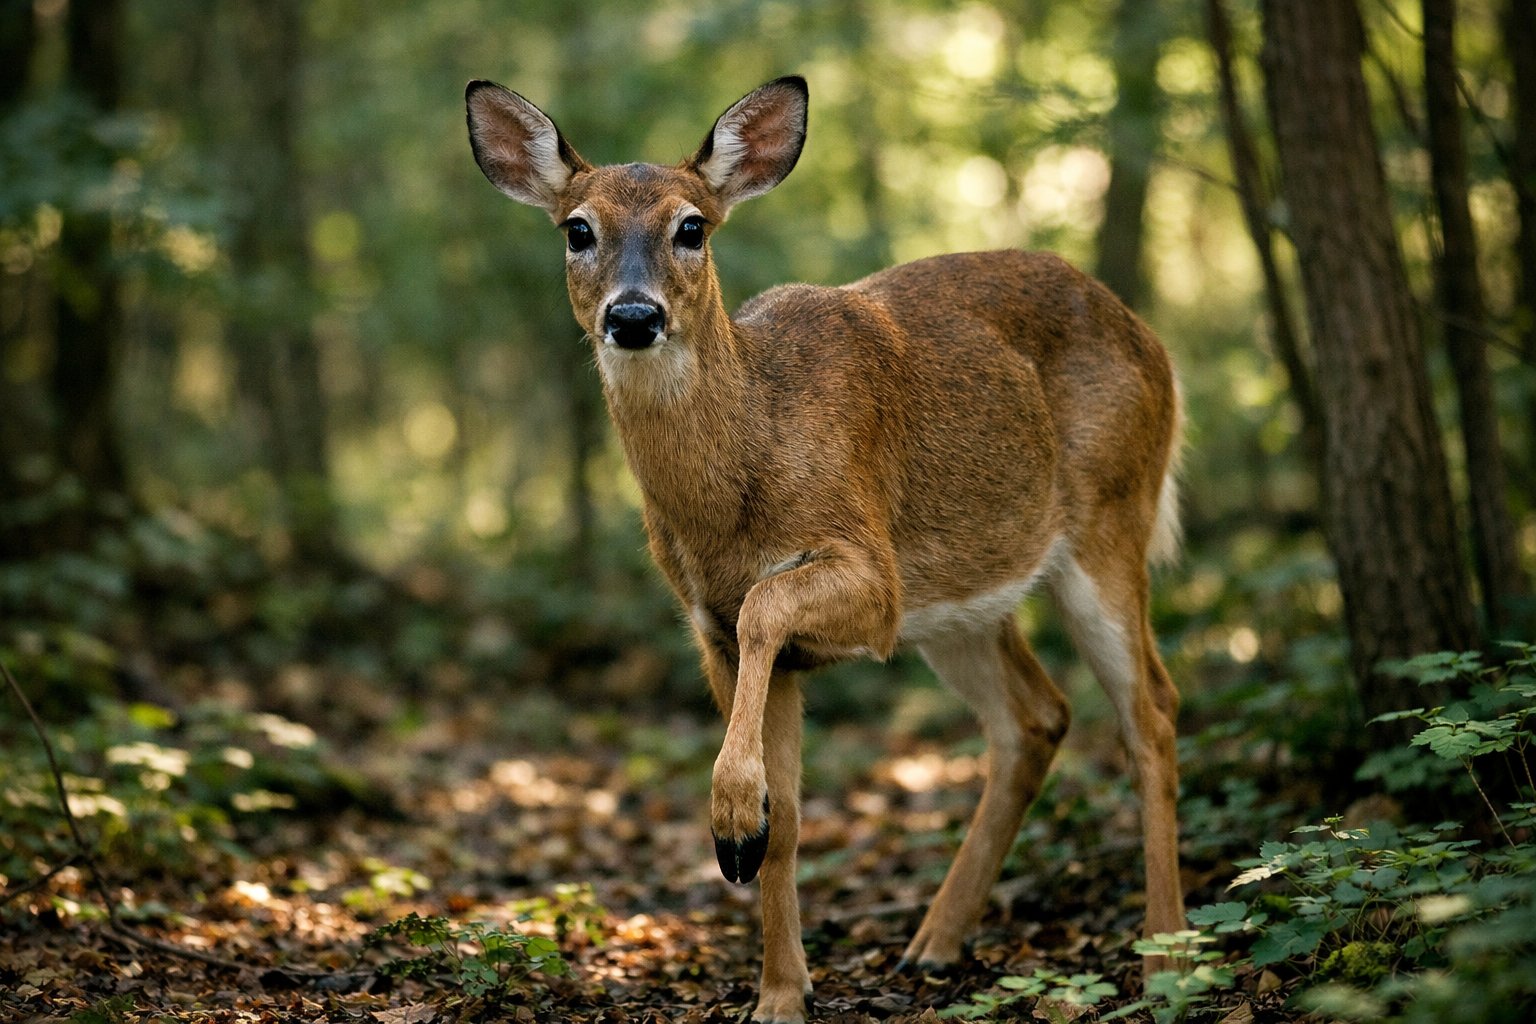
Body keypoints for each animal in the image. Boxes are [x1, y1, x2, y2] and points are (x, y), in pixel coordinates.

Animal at [465, 75, 1186, 1023]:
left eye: (692, 227)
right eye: (577, 229)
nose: (633, 315)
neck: (740, 482)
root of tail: (1152, 338)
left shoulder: (871, 575)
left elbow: (769, 607)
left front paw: (733, 823)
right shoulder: (710, 627)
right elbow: (793, 817)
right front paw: (778, 989)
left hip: (1109, 518)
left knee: (1151, 711)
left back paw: (1167, 956)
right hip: (962, 601)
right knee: (1037, 716)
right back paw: (933, 942)